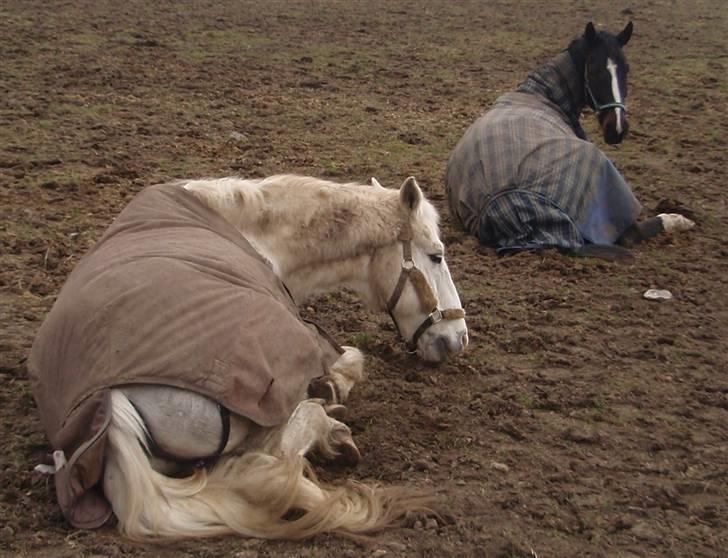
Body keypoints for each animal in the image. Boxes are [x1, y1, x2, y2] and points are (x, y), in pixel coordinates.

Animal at [28, 176, 466, 544]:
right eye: (436, 256)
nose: (458, 338)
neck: (259, 237)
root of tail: (110, 402)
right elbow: (352, 360)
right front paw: (332, 389)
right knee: (269, 464)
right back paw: (331, 429)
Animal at [444, 20, 692, 260]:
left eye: (626, 69)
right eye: (594, 70)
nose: (617, 129)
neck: (545, 94)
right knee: (631, 233)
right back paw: (676, 219)